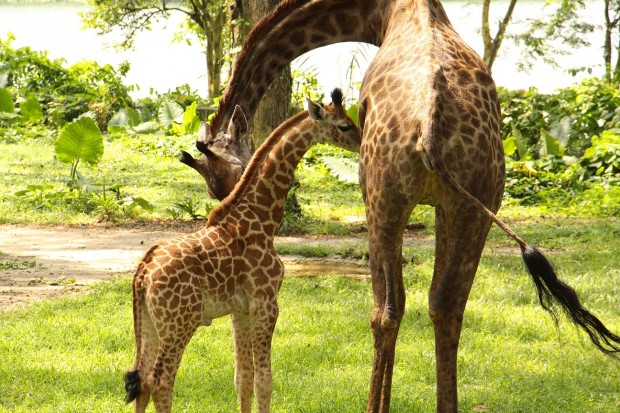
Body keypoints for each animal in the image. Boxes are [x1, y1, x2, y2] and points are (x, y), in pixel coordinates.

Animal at [123, 87, 360, 412]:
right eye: (345, 126)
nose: (362, 142)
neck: (262, 219)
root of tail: (143, 273)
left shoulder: (240, 310)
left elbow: (243, 378)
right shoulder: (267, 303)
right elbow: (265, 381)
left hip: (148, 320)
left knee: (143, 380)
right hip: (179, 322)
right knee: (160, 380)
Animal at [195, 0, 620, 412]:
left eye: (216, 179)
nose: (224, 209)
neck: (379, 12)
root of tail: (430, 124)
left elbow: (391, 303)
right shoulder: (446, 206)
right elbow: (435, 299)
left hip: (382, 199)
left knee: (385, 309)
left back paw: (374, 406)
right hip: (478, 203)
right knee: (447, 305)